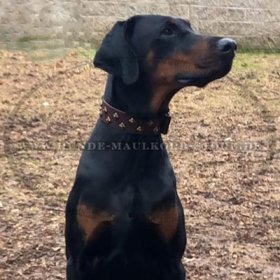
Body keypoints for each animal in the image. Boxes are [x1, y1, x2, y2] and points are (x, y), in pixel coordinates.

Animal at [66, 14, 236, 280]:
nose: (231, 45)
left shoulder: (171, 261)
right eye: (167, 31)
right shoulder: (79, 260)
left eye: (190, 27)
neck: (136, 139)